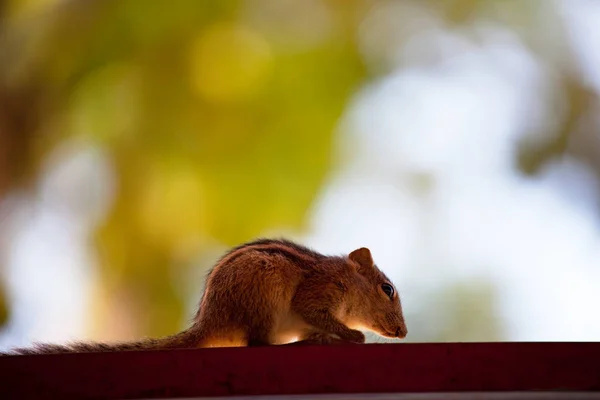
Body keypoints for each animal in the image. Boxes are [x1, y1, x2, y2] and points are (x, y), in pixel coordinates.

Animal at [1, 236, 408, 354]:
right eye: (387, 289)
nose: (403, 332)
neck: (346, 281)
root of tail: (209, 322)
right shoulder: (318, 292)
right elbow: (316, 313)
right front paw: (353, 334)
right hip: (264, 298)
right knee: (257, 343)